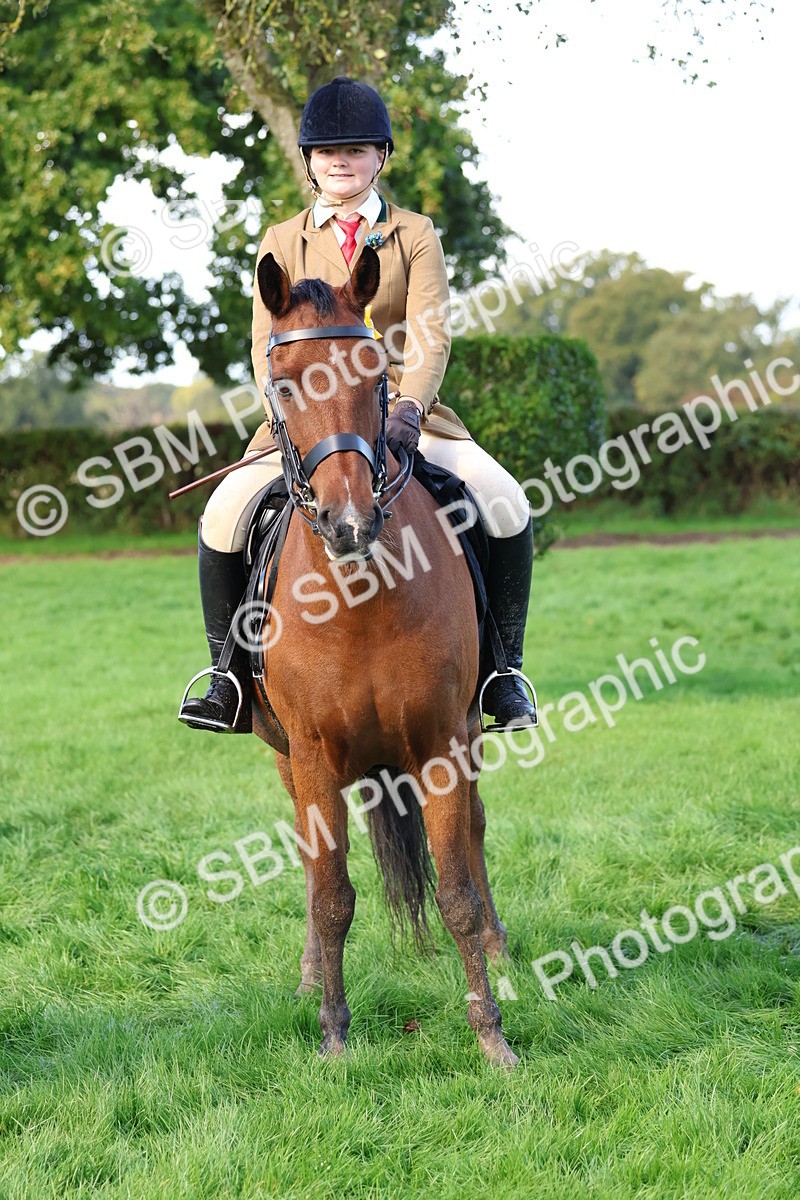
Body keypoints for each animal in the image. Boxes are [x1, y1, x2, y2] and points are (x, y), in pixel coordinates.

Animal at [249, 246, 518, 1067]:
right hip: (285, 757)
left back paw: (499, 950)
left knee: (475, 834)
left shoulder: (440, 746)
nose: (349, 522)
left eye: (375, 376)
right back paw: (309, 978)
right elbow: (332, 893)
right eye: (282, 384)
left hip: (469, 733)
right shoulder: (310, 756)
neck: (357, 597)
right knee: (313, 870)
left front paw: (491, 1034)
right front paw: (334, 1031)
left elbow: (456, 892)